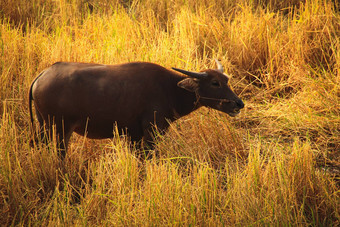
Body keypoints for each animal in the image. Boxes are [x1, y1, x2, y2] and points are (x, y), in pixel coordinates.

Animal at [27, 60, 243, 159]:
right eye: (215, 83)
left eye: (226, 80)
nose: (239, 104)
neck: (170, 89)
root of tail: (42, 75)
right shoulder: (151, 132)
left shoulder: (134, 136)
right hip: (60, 129)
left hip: (43, 126)